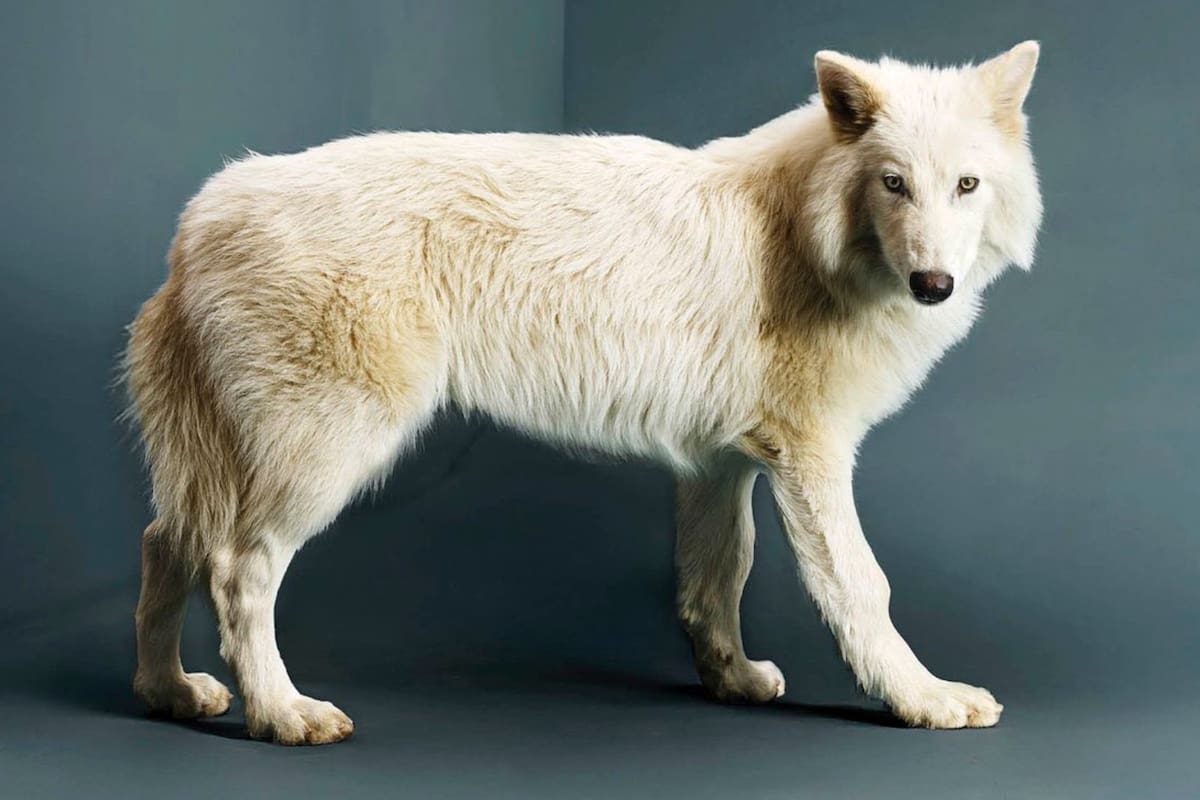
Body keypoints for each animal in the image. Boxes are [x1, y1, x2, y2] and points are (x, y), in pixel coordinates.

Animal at [124, 42, 1042, 744]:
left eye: (965, 186)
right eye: (893, 183)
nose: (933, 285)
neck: (805, 234)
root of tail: (202, 215)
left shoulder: (720, 466)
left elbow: (719, 579)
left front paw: (734, 681)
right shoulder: (811, 457)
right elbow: (862, 586)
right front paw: (925, 700)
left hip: (225, 464)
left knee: (163, 542)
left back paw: (169, 693)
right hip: (326, 456)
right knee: (236, 568)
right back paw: (282, 714)